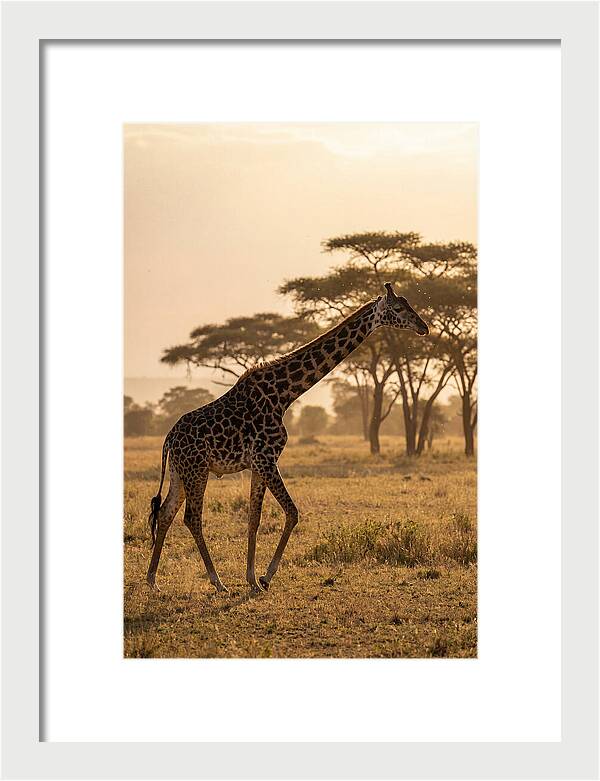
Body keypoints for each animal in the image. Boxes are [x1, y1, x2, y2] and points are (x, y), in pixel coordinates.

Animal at [146, 282, 429, 593]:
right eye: (399, 308)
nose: (424, 327)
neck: (284, 394)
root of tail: (169, 438)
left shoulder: (258, 464)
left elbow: (254, 518)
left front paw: (252, 579)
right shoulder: (267, 458)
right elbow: (292, 512)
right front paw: (265, 577)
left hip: (180, 472)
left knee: (165, 512)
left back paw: (152, 580)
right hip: (197, 470)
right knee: (192, 518)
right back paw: (217, 582)